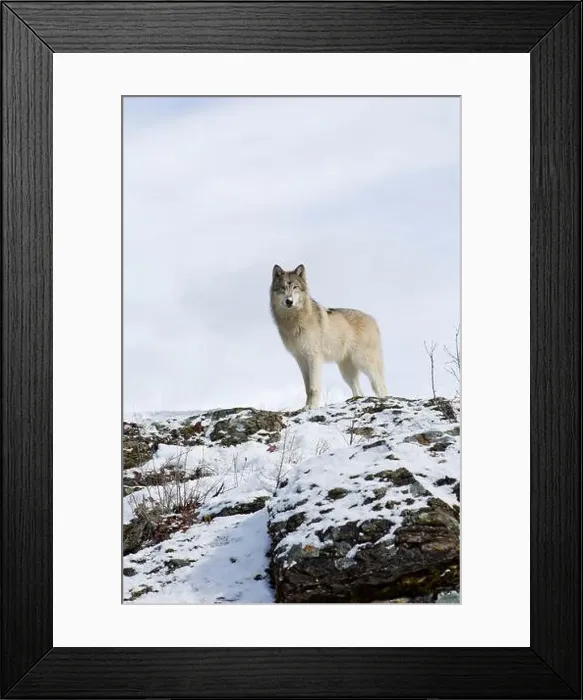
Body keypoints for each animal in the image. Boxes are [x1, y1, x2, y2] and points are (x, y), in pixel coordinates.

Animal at [270, 264, 388, 409]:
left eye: (295, 287)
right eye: (282, 288)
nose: (289, 301)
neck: (293, 321)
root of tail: (373, 320)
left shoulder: (314, 357)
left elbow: (313, 388)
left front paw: (311, 407)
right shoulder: (300, 359)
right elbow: (307, 387)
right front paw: (306, 406)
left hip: (363, 362)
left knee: (381, 386)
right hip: (346, 371)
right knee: (359, 391)